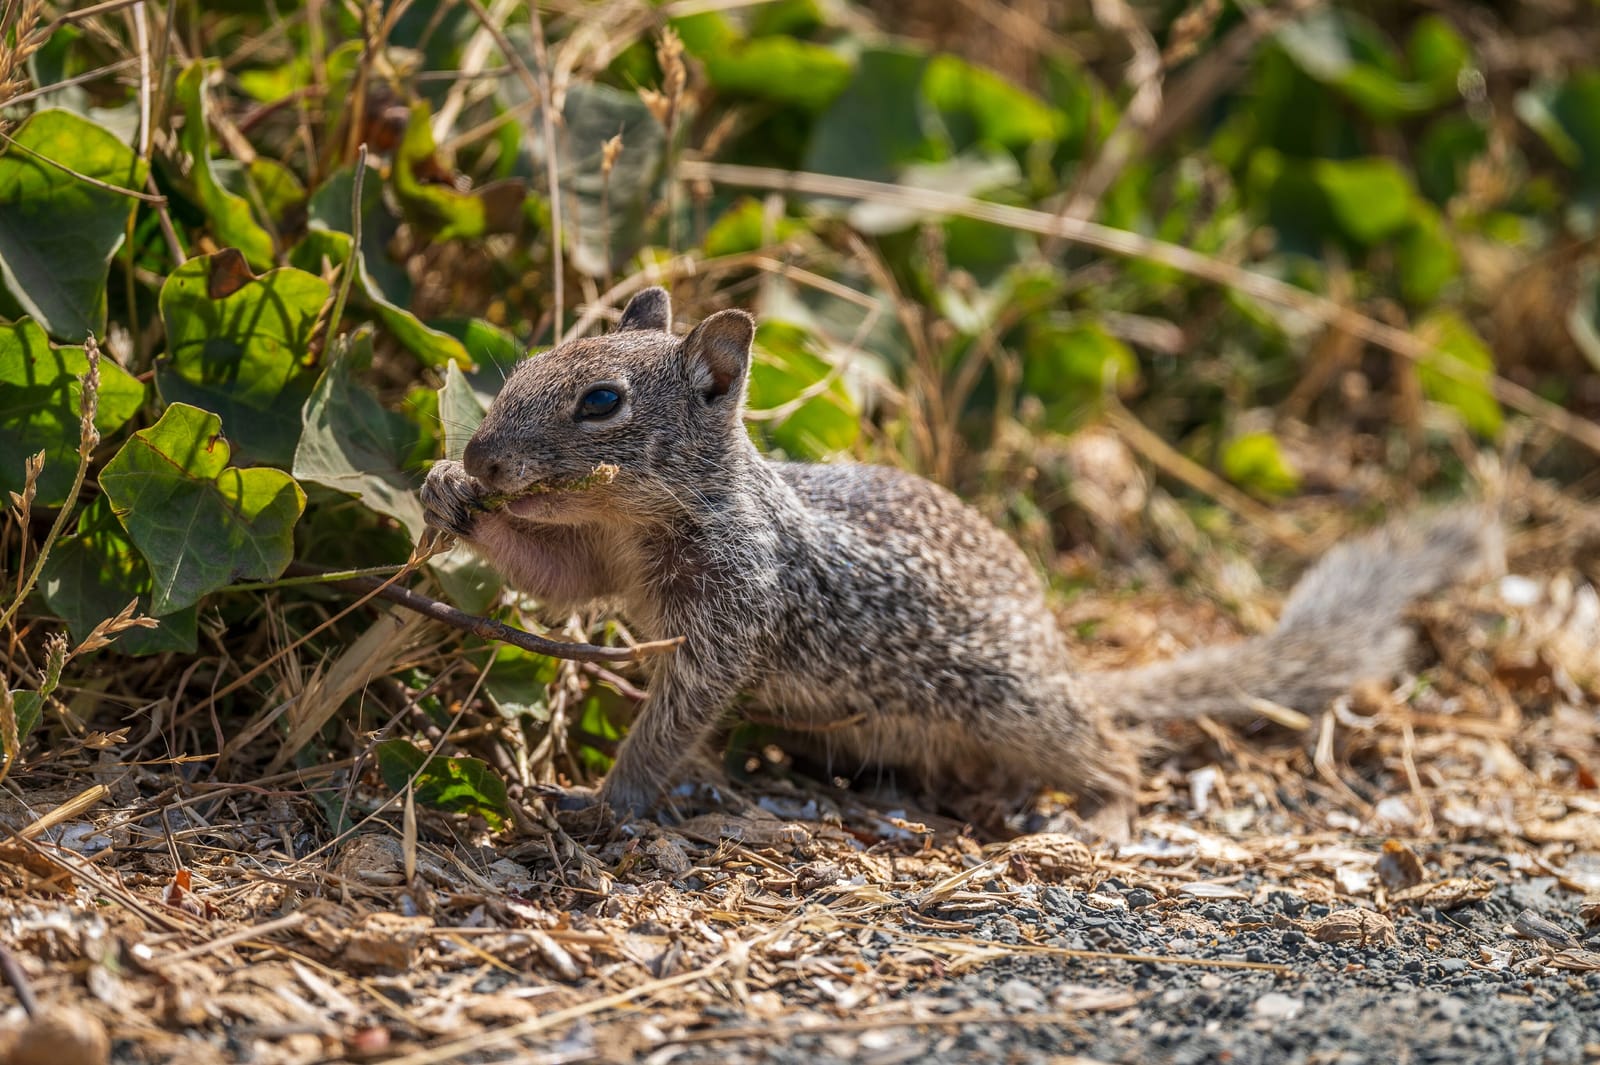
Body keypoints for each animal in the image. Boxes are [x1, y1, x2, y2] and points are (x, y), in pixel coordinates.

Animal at [420, 287, 1502, 834]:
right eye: (526, 365)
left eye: (601, 402)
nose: (483, 454)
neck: (653, 516)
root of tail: (1067, 659)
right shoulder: (608, 563)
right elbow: (555, 577)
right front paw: (445, 495)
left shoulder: (733, 609)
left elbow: (677, 716)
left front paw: (607, 801)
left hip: (1011, 703)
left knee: (1113, 753)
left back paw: (1096, 819)